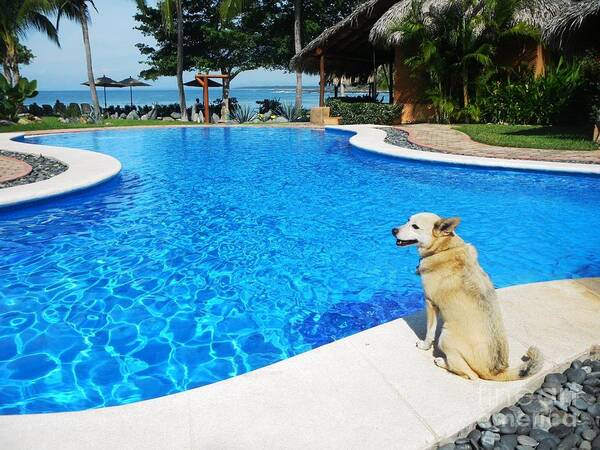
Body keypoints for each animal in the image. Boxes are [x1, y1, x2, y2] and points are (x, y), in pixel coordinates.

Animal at [392, 213, 540, 382]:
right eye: (407, 220)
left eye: (415, 226)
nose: (393, 230)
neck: (443, 248)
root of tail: (497, 371)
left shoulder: (430, 303)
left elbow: (429, 332)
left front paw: (424, 346)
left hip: (446, 338)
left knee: (470, 374)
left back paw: (442, 361)